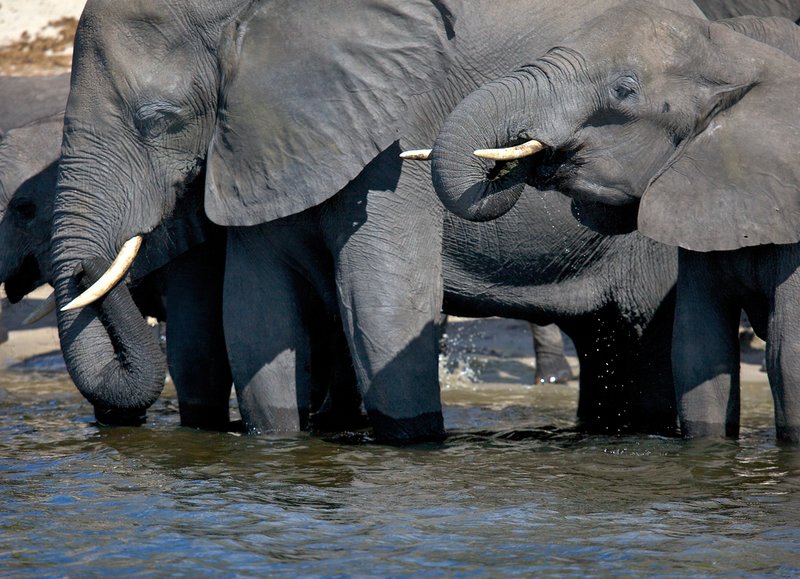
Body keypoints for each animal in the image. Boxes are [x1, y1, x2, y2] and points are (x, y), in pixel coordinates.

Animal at [52, 0, 708, 443]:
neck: (258, 14)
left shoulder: (394, 128)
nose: (89, 266)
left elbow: (381, 306)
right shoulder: (263, 141)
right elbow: (256, 312)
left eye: (156, 119)